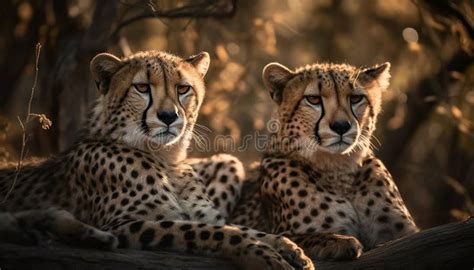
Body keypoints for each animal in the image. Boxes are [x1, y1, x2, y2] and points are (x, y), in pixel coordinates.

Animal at [0, 50, 314, 270]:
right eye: (141, 88)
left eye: (183, 89)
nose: (168, 116)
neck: (167, 160)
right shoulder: (128, 223)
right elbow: (217, 232)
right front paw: (266, 255)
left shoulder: (201, 214)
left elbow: (238, 227)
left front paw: (289, 246)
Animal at [230, 60, 418, 260]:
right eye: (313, 99)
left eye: (355, 99)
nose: (341, 126)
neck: (338, 169)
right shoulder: (283, 231)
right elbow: (306, 237)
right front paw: (340, 241)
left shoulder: (405, 234)